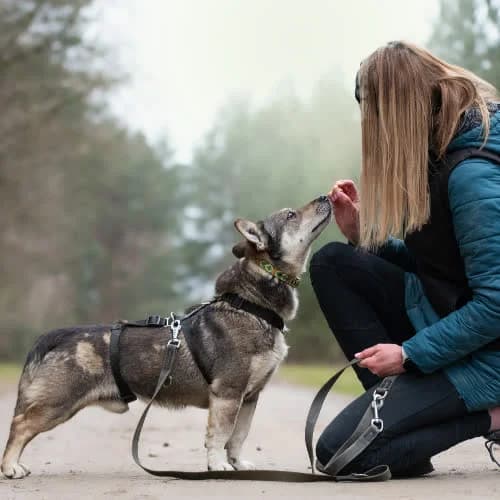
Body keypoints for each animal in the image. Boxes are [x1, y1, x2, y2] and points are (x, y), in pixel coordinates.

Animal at [1, 195, 332, 479]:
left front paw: (238, 464)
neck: (251, 305)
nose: (325, 197)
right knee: (20, 424)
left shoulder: (249, 398)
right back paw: (11, 467)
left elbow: (238, 436)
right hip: (58, 403)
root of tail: (60, 335)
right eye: (290, 215)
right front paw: (218, 466)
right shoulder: (228, 393)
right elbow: (220, 435)